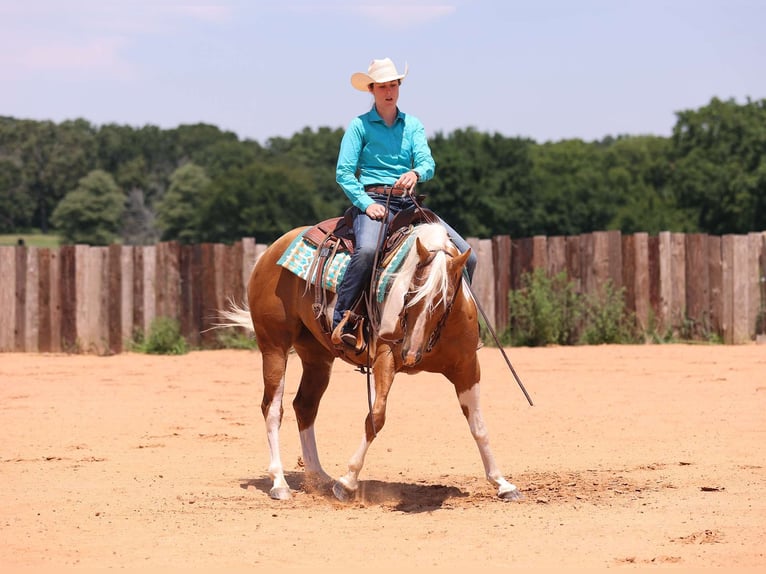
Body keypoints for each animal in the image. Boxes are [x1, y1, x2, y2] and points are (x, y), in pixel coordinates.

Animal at [219, 219, 522, 502]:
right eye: (408, 294)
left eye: (444, 300)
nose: (410, 355)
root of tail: (270, 252)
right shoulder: (385, 358)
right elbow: (375, 417)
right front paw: (347, 482)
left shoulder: (467, 367)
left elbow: (479, 425)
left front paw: (502, 483)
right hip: (274, 347)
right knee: (272, 408)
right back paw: (279, 483)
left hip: (317, 356)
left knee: (305, 406)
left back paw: (319, 476)